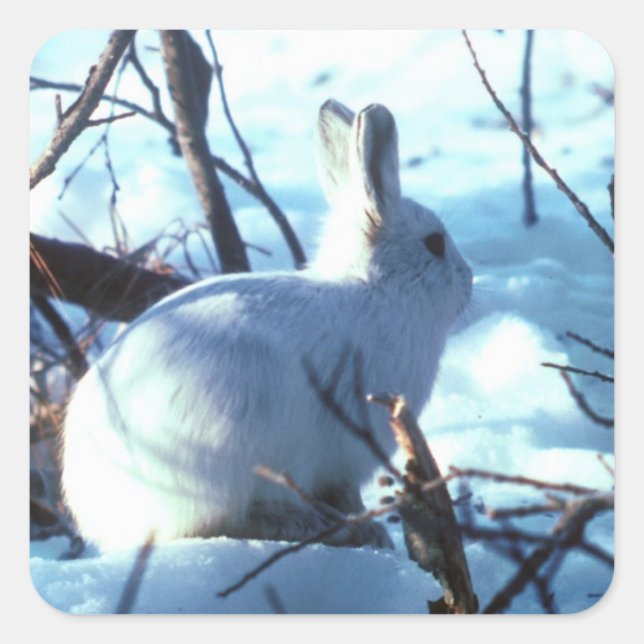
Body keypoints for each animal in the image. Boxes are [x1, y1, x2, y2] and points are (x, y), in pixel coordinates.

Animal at [61, 99, 473, 552]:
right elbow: (347, 493)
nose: (469, 282)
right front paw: (369, 528)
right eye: (434, 243)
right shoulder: (348, 448)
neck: (377, 290)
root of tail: (110, 519)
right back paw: (307, 525)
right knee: (216, 524)